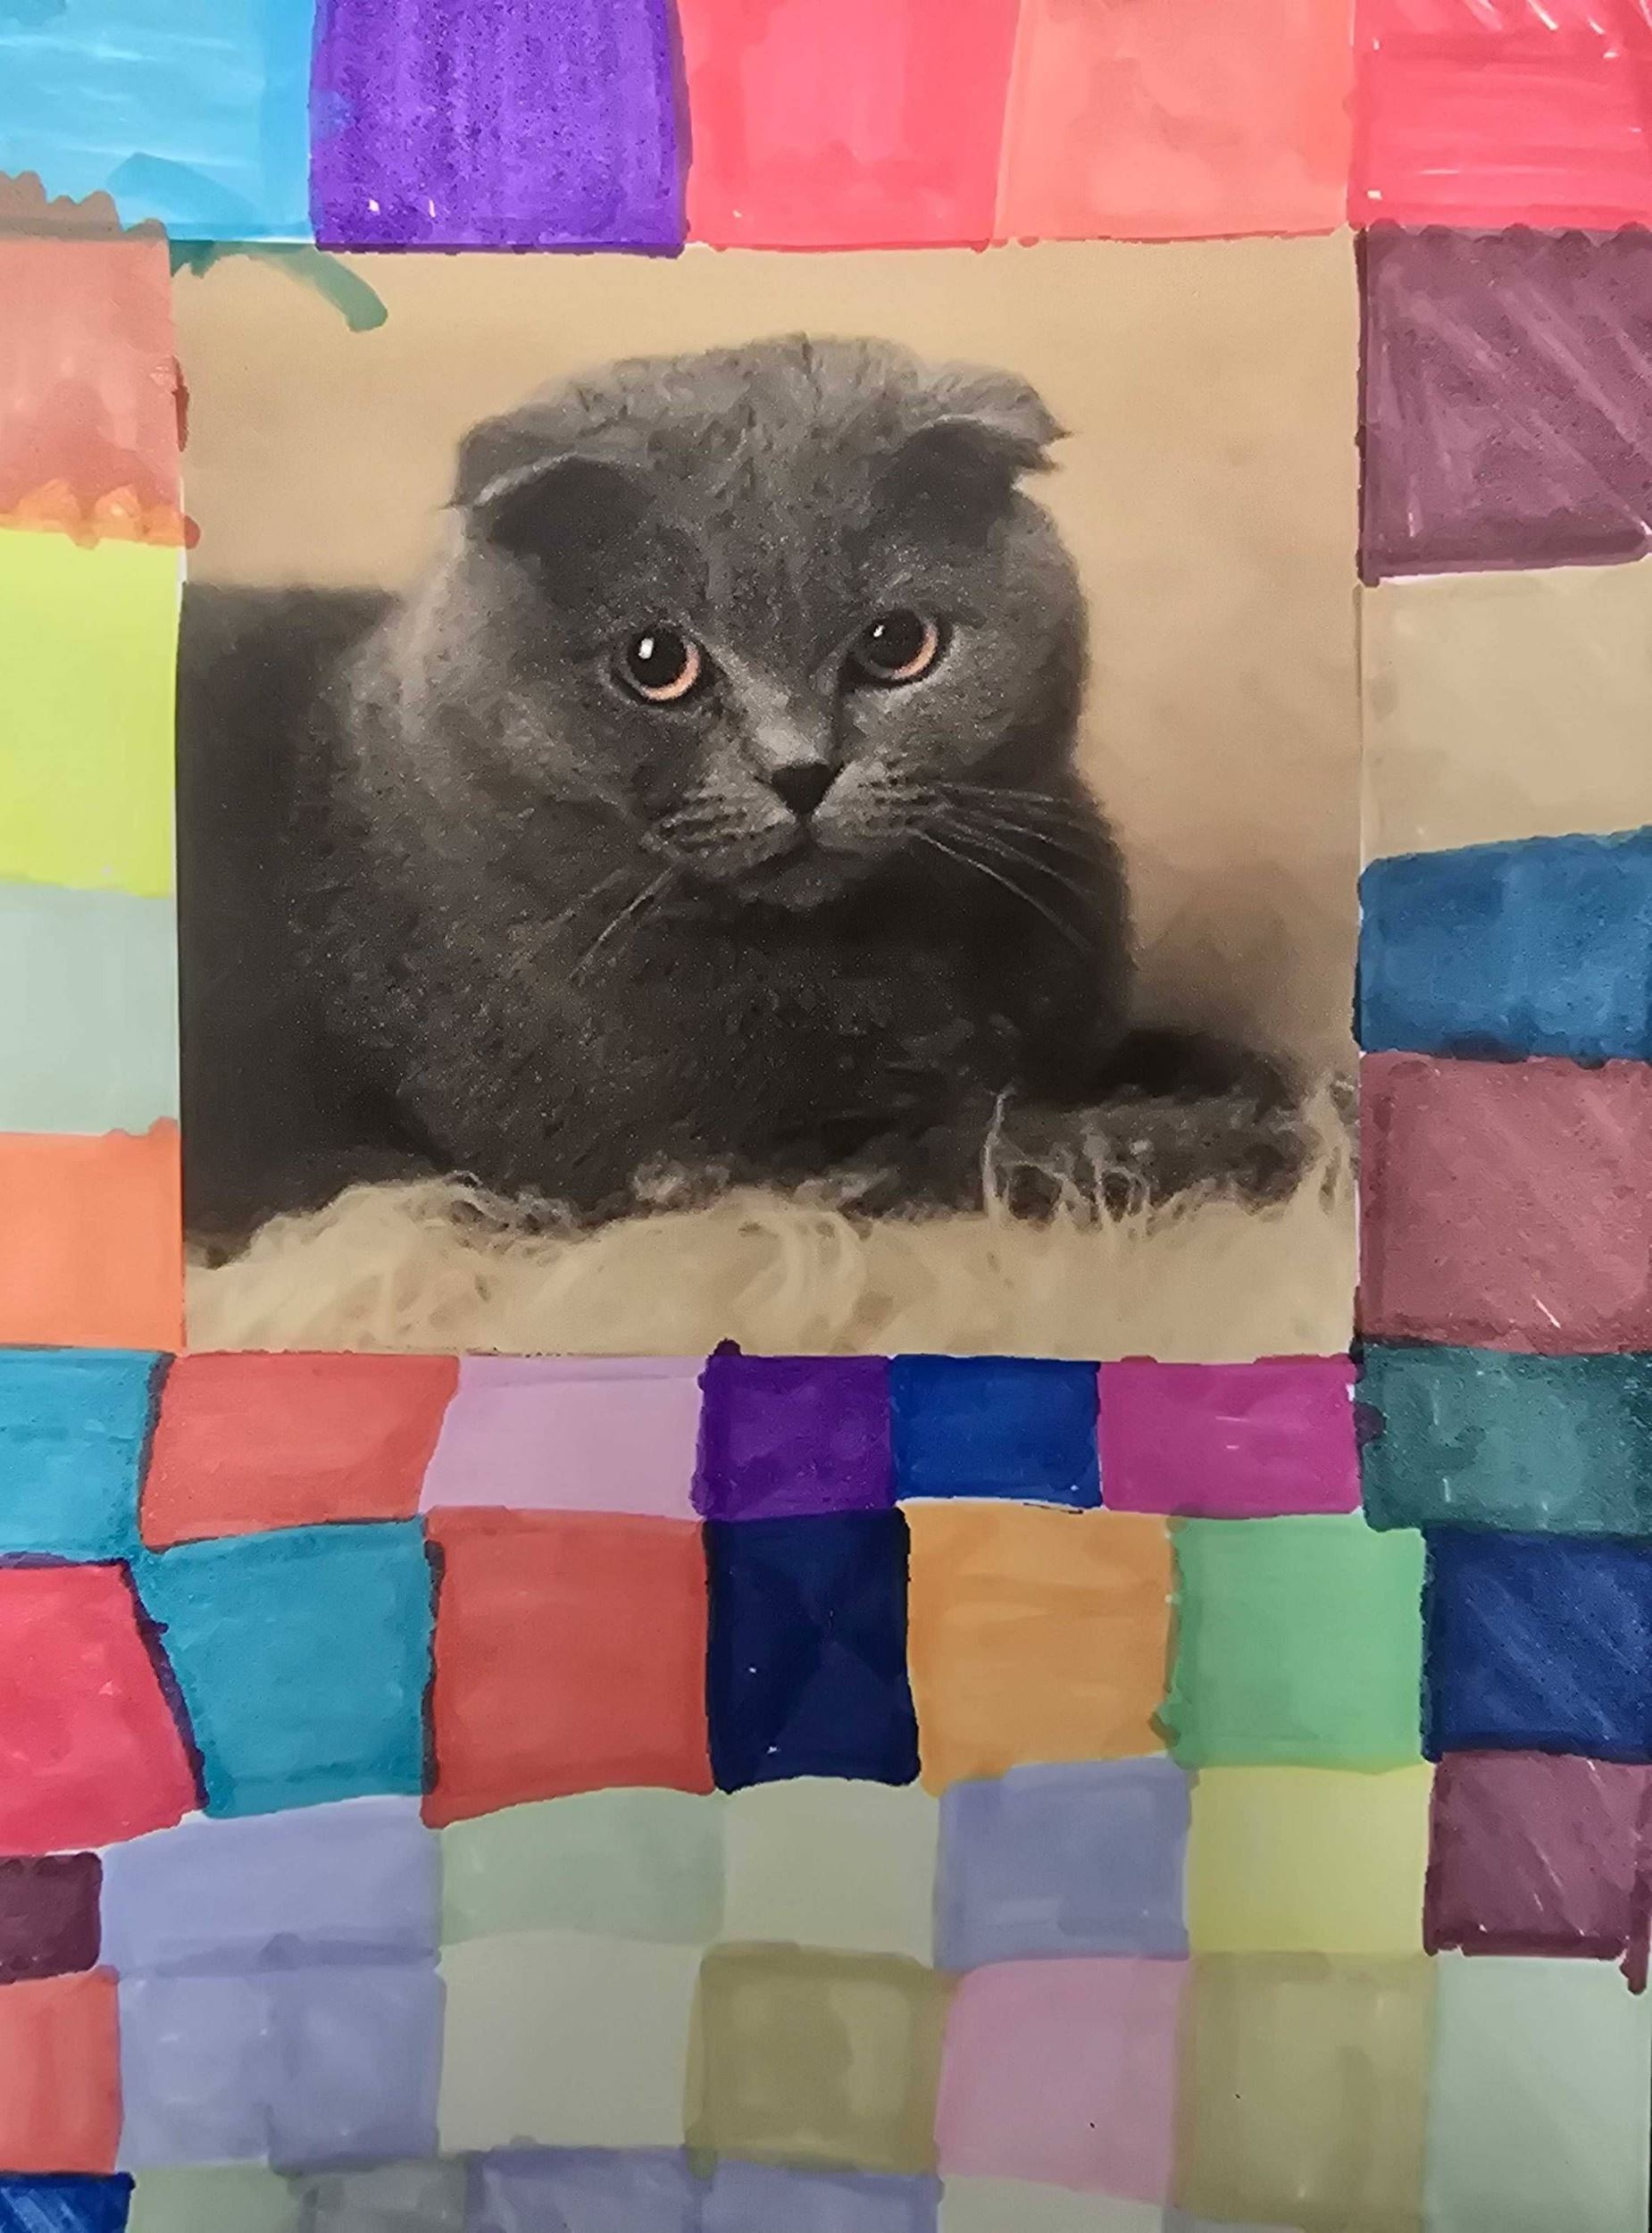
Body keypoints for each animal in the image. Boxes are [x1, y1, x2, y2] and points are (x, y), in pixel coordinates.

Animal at [176, 333, 1303, 1243]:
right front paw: (1250, 1142)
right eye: (655, 663)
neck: (888, 951)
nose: (800, 769)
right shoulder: (754, 1163)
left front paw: (1267, 1080)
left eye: (896, 644)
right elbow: (1021, 1149)